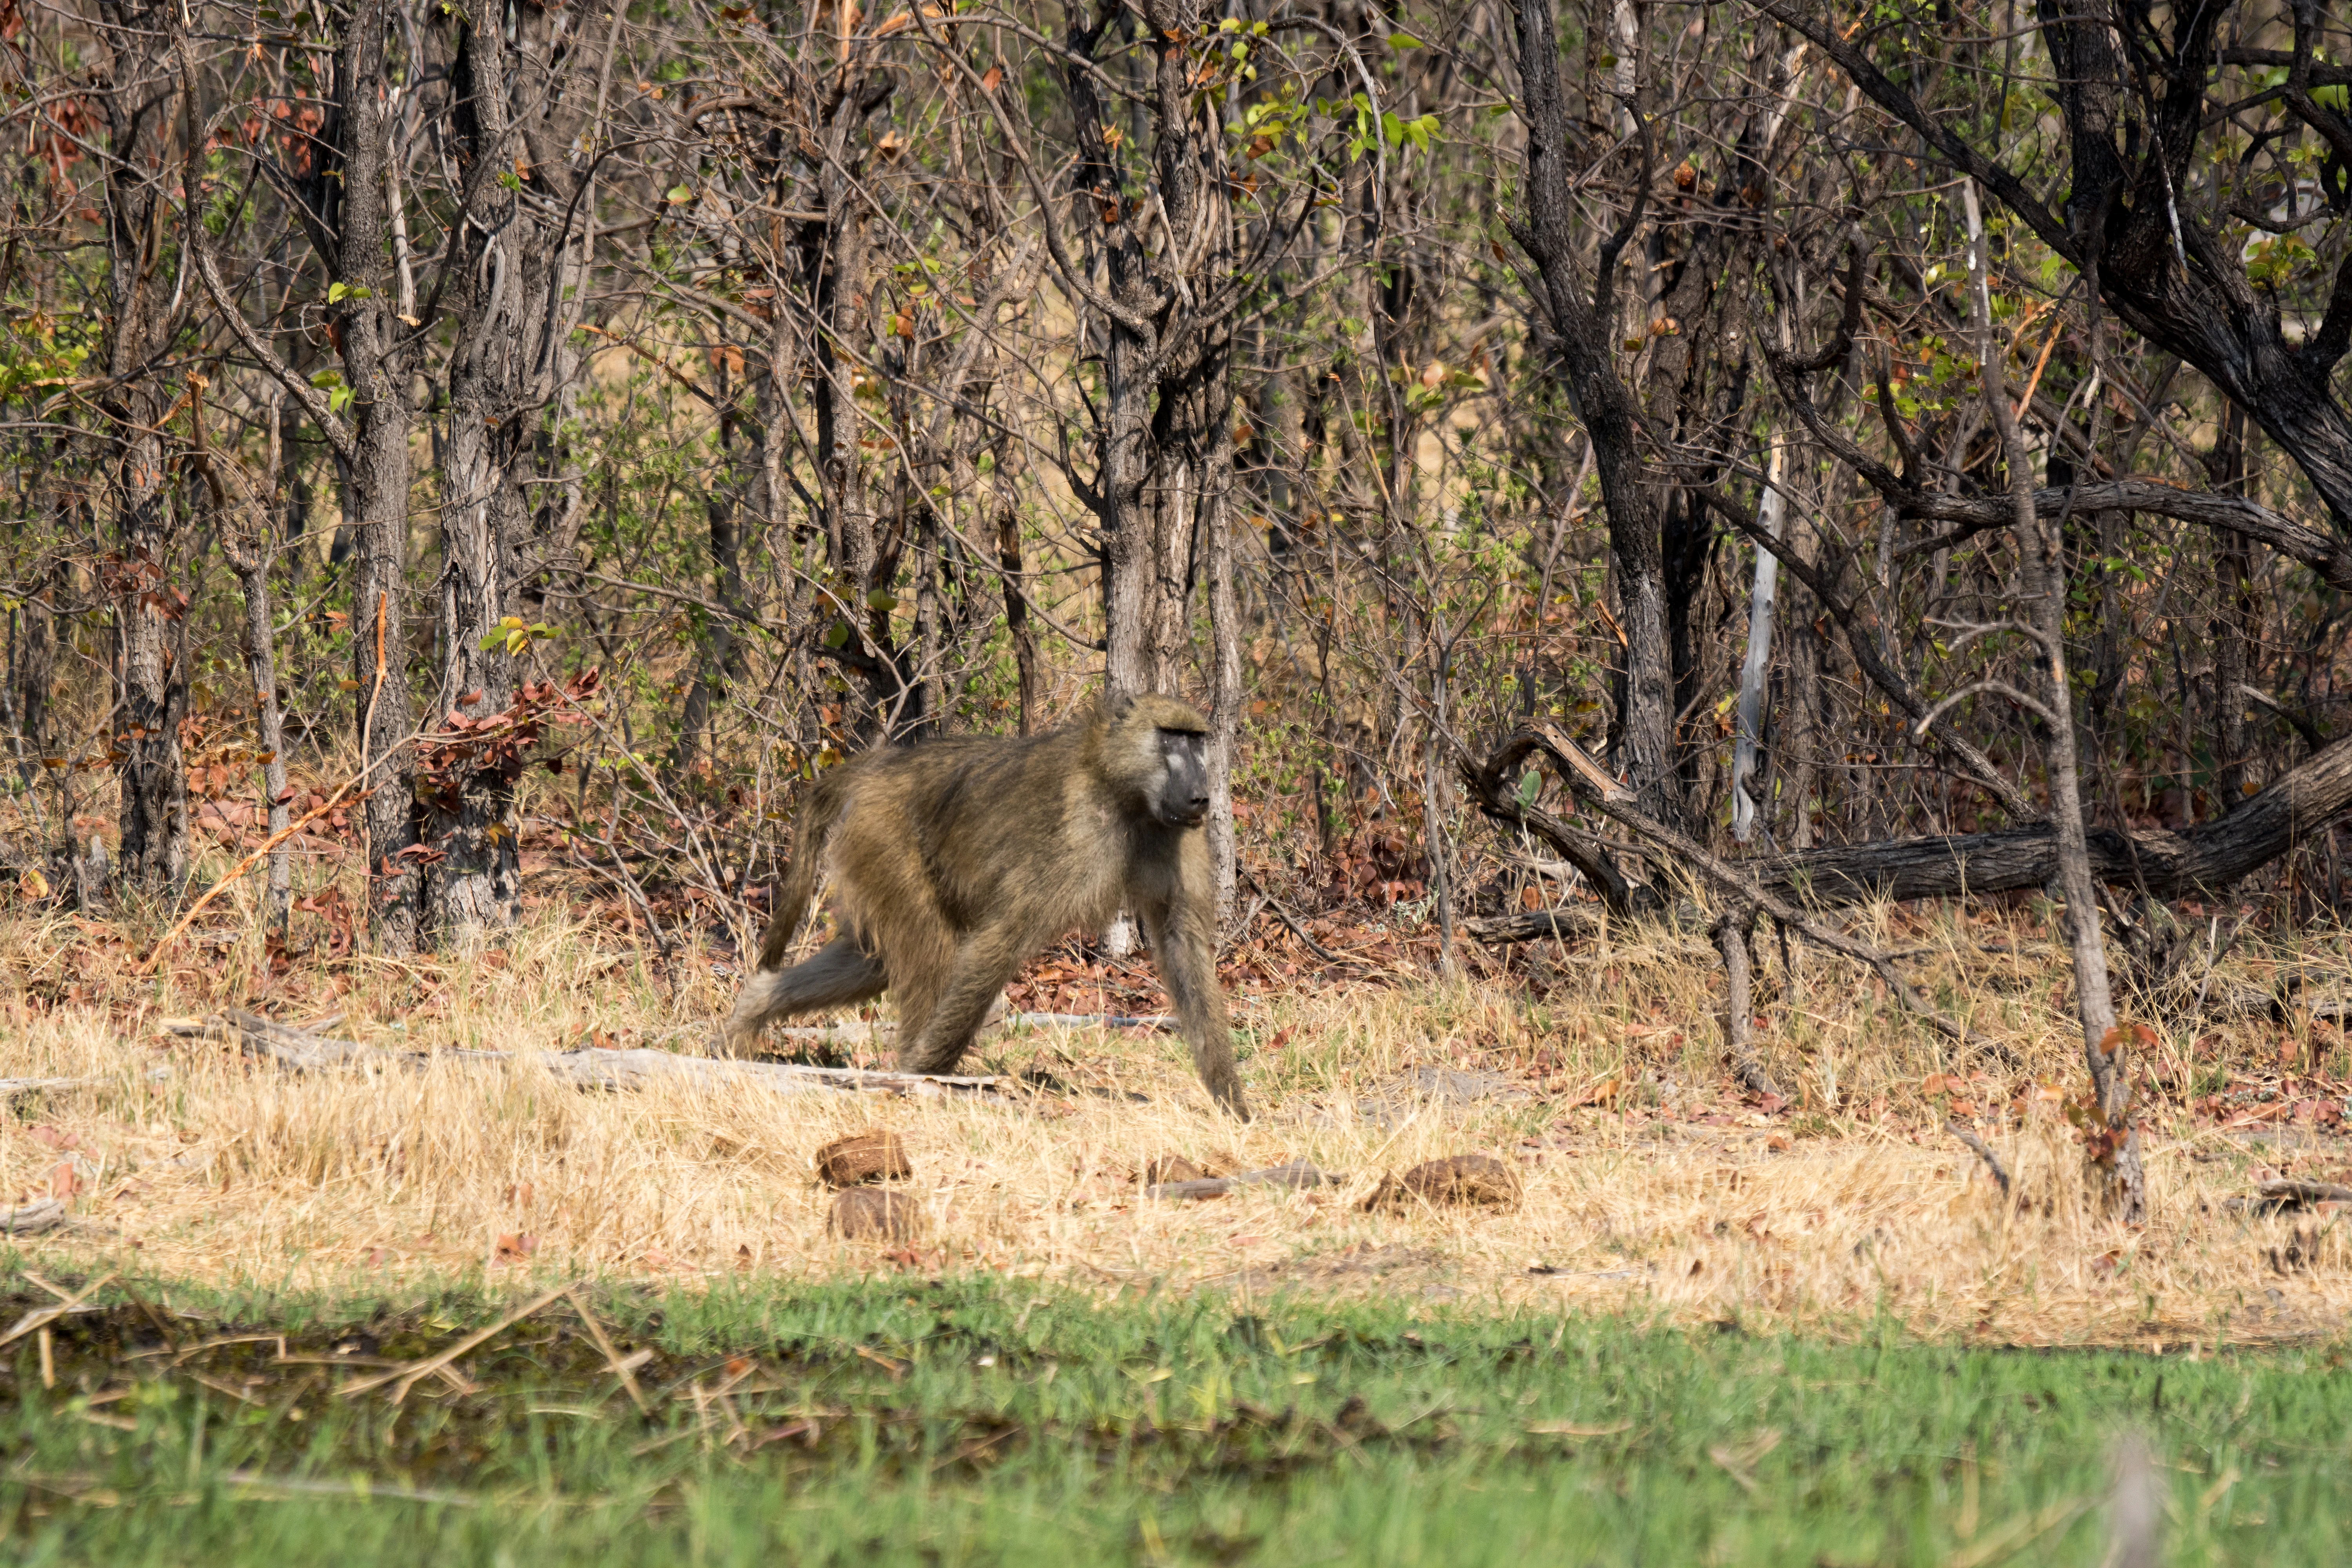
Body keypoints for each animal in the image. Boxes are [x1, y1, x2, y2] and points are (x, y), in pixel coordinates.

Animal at [718, 692, 1249, 1117]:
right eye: (1171, 737)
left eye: (1196, 740)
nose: (1201, 796)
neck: (1123, 791)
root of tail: (876, 771)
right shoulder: (1072, 834)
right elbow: (1003, 940)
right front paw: (923, 1073)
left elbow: (1183, 943)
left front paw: (1232, 1104)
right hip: (883, 837)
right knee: (929, 952)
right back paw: (915, 1082)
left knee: (872, 964)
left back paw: (749, 1014)